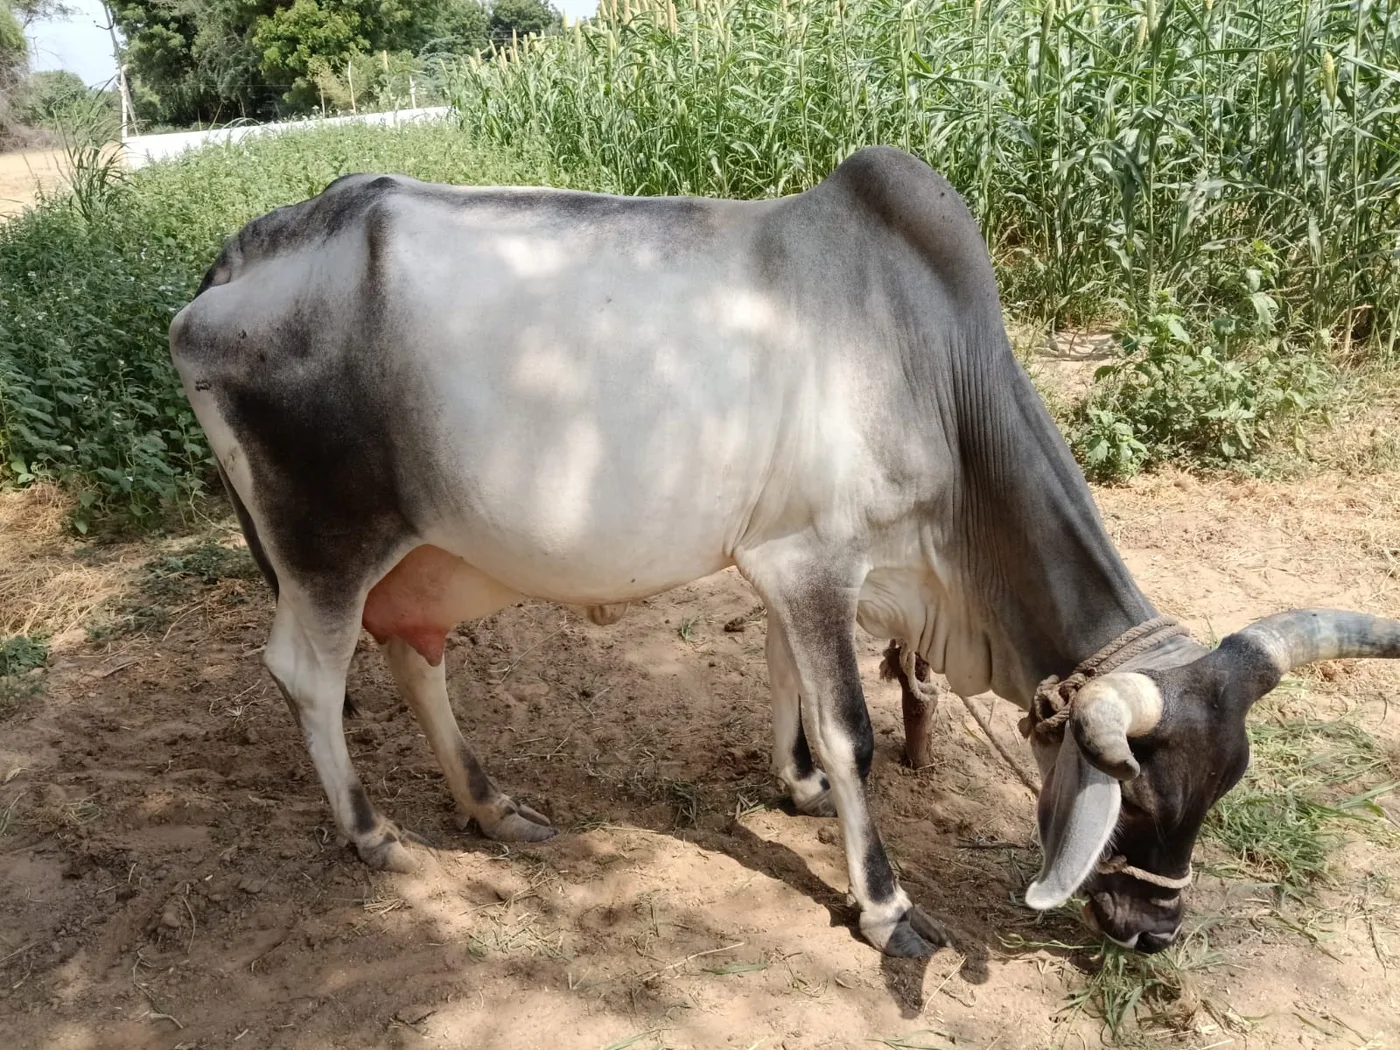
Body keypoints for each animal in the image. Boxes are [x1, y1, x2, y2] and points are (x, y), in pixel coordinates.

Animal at [168, 146, 1400, 958]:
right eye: (1136, 803)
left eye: (1223, 790)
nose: (1152, 931)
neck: (931, 369)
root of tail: (238, 263)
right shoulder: (814, 563)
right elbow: (853, 728)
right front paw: (885, 905)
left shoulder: (789, 563)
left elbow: (786, 683)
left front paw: (794, 784)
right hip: (326, 546)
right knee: (310, 674)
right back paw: (374, 834)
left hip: (414, 554)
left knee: (413, 657)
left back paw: (492, 807)